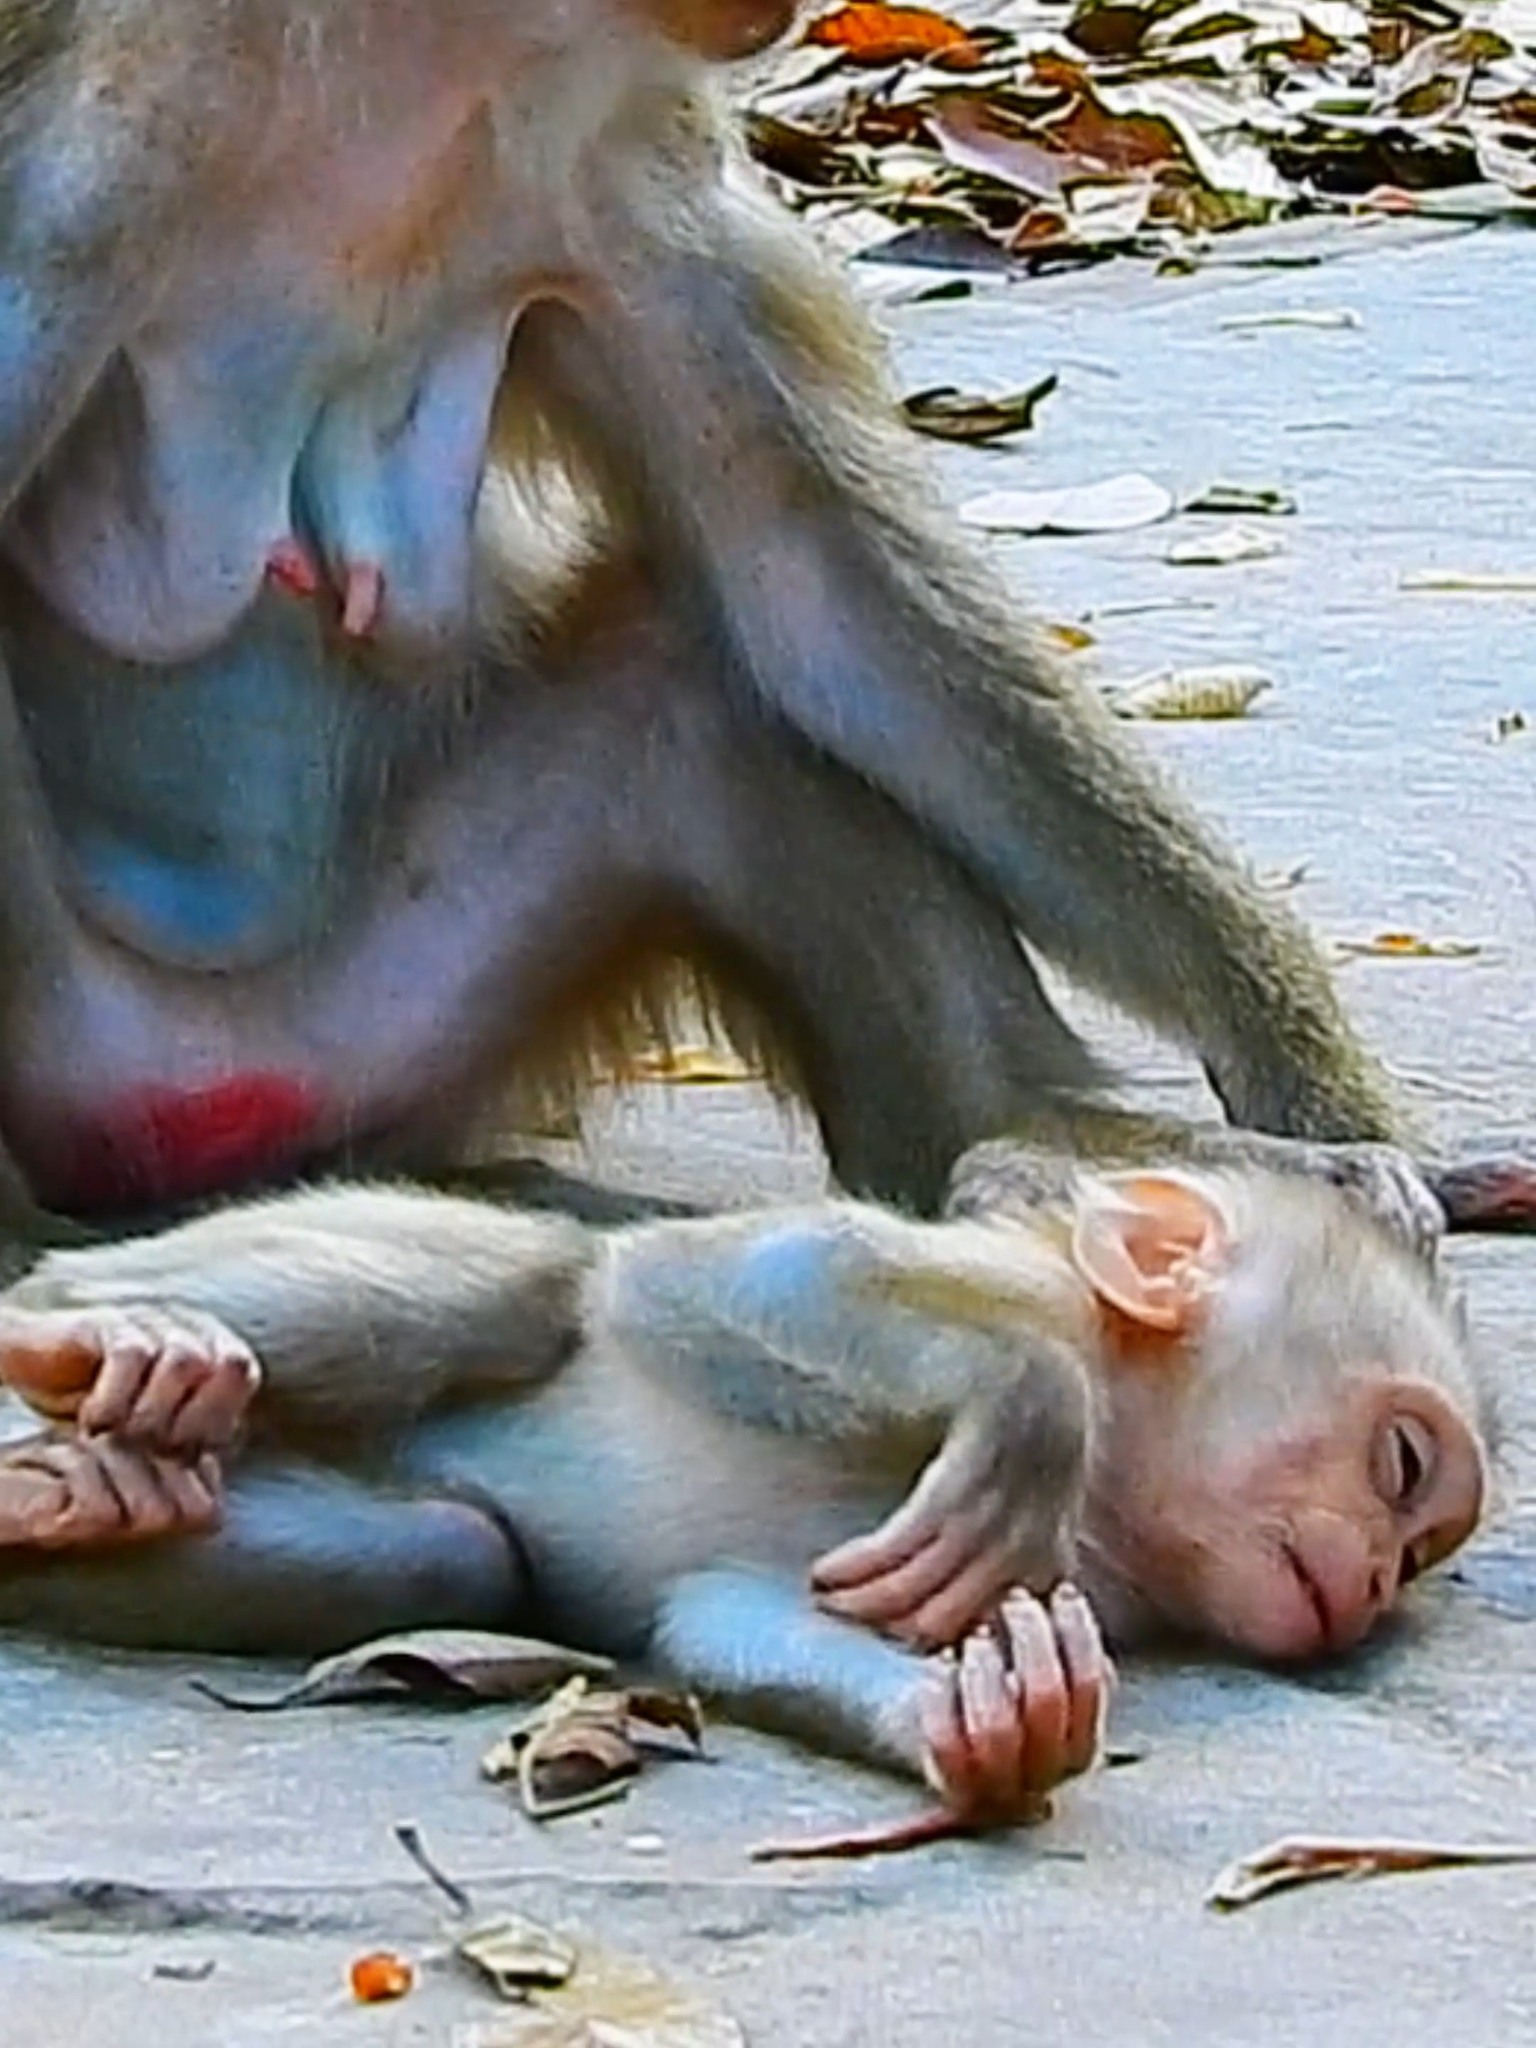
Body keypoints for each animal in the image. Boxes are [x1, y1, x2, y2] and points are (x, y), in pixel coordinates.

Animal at [0, 0, 1437, 1250]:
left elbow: (817, 591)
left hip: (402, 1023)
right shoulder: (80, 162)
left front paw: (1300, 1067)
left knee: (691, 690)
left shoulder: (627, 144)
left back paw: (1028, 1133)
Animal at [0, 1145, 1488, 1826]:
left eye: (1417, 1554)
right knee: (534, 1288)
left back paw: (77, 1493)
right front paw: (1026, 1408)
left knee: (457, 1552)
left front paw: (990, 1721)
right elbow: (705, 1282)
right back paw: (96, 1337)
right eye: (1401, 1463)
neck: (1121, 1488)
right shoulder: (1028, 1300)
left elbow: (726, 1611)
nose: (1370, 1581)